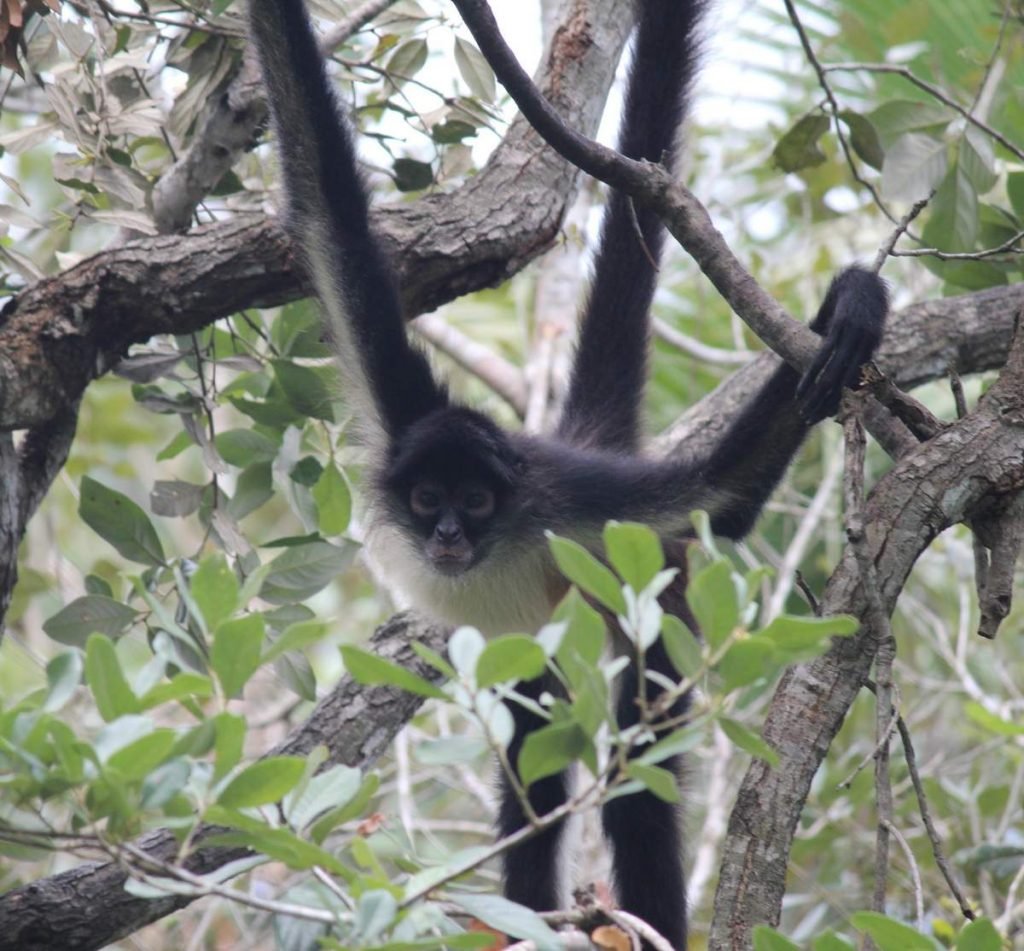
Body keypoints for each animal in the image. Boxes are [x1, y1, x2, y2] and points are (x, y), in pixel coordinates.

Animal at [249, 1, 888, 941]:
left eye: (476, 501)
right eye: (429, 498)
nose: (446, 533)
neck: (500, 538)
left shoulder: (571, 501)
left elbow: (721, 501)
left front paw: (851, 307)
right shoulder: (403, 409)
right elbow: (319, 193)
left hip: (653, 609)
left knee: (634, 779)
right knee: (532, 763)